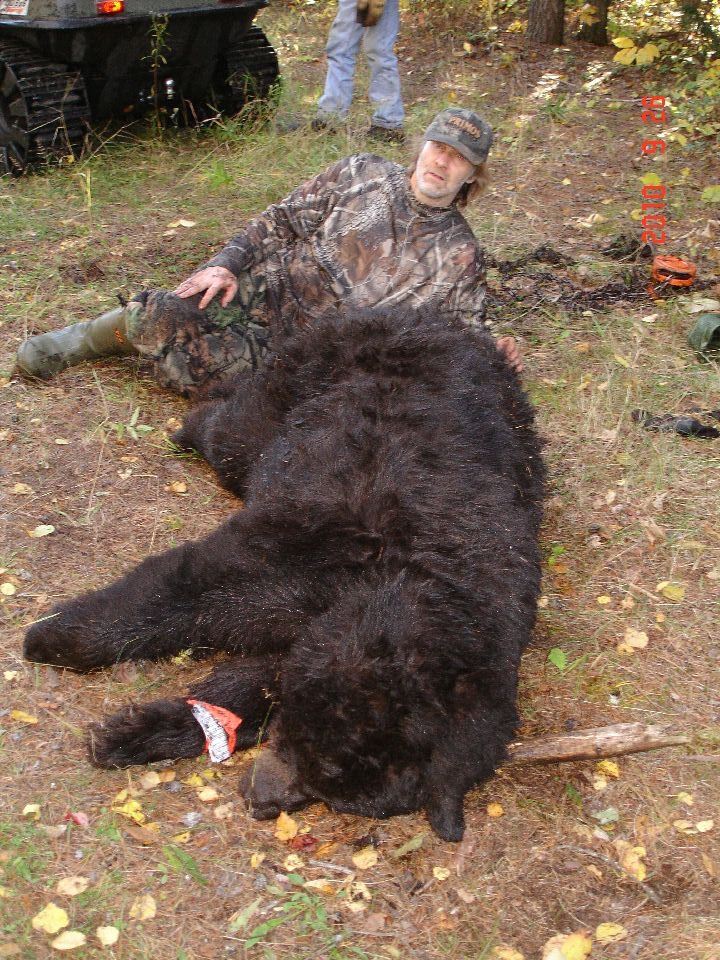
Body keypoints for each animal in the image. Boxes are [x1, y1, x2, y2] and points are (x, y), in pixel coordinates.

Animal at [24, 308, 545, 842]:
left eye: (339, 798)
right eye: (306, 752)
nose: (258, 799)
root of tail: (428, 318)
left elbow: (243, 689)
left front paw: (136, 732)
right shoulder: (302, 549)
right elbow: (181, 589)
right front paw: (51, 638)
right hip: (292, 393)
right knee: (230, 429)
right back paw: (194, 420)